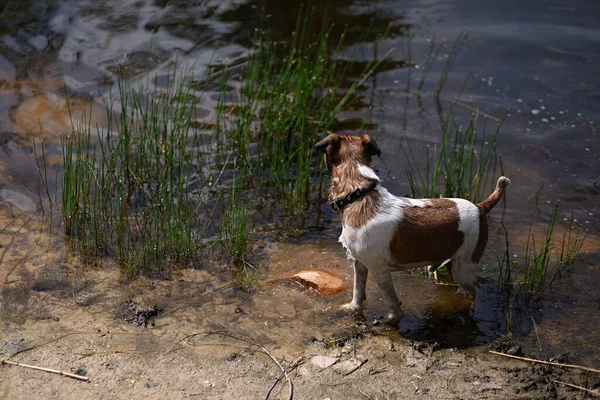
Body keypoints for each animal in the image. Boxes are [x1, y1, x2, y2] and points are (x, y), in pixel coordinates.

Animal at [314, 134, 510, 322]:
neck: (359, 193)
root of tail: (481, 207)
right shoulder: (360, 263)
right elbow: (358, 291)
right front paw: (353, 308)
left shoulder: (379, 270)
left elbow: (392, 301)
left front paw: (393, 320)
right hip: (454, 263)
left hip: (464, 269)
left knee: (475, 291)